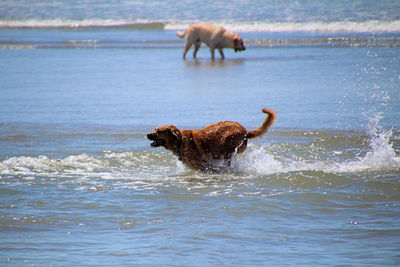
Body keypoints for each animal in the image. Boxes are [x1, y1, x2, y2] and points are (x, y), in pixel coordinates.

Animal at [148, 108, 278, 172]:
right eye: (155, 129)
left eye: (159, 131)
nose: (147, 134)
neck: (180, 141)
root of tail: (245, 131)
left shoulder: (201, 166)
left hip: (227, 144)